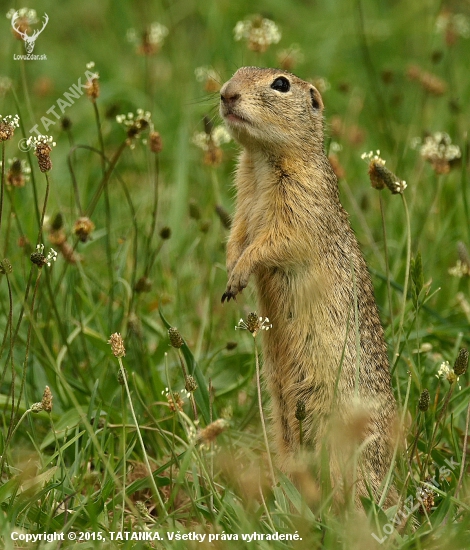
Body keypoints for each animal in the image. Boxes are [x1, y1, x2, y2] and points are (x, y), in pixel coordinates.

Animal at [220, 68, 396, 508]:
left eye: (281, 84)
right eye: (236, 72)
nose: (226, 94)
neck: (262, 161)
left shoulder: (301, 201)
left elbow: (275, 241)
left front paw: (240, 272)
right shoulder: (243, 199)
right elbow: (237, 233)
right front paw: (230, 267)